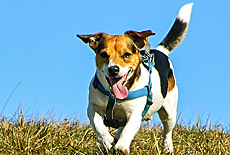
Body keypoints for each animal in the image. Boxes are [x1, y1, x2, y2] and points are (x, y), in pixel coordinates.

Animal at [77, 3, 192, 154]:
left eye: (126, 54)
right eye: (103, 54)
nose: (113, 69)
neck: (115, 96)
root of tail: (160, 51)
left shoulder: (135, 113)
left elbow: (129, 128)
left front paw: (121, 147)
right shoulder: (93, 107)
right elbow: (97, 124)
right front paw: (106, 141)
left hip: (170, 111)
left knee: (167, 131)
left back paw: (168, 148)